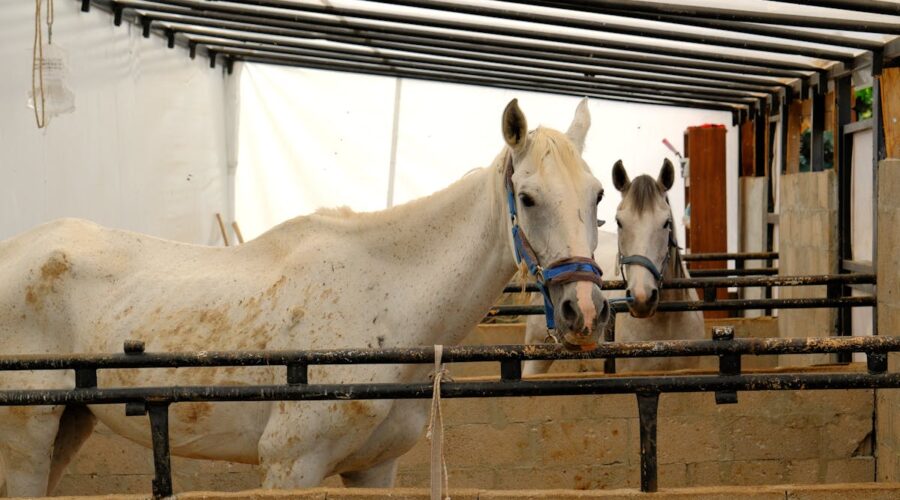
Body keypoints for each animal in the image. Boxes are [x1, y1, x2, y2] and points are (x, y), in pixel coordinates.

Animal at [0, 98, 610, 496]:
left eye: (599, 195)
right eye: (528, 198)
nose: (584, 311)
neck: (384, 300)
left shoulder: (374, 470)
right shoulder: (290, 467)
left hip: (67, 426)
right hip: (26, 440)